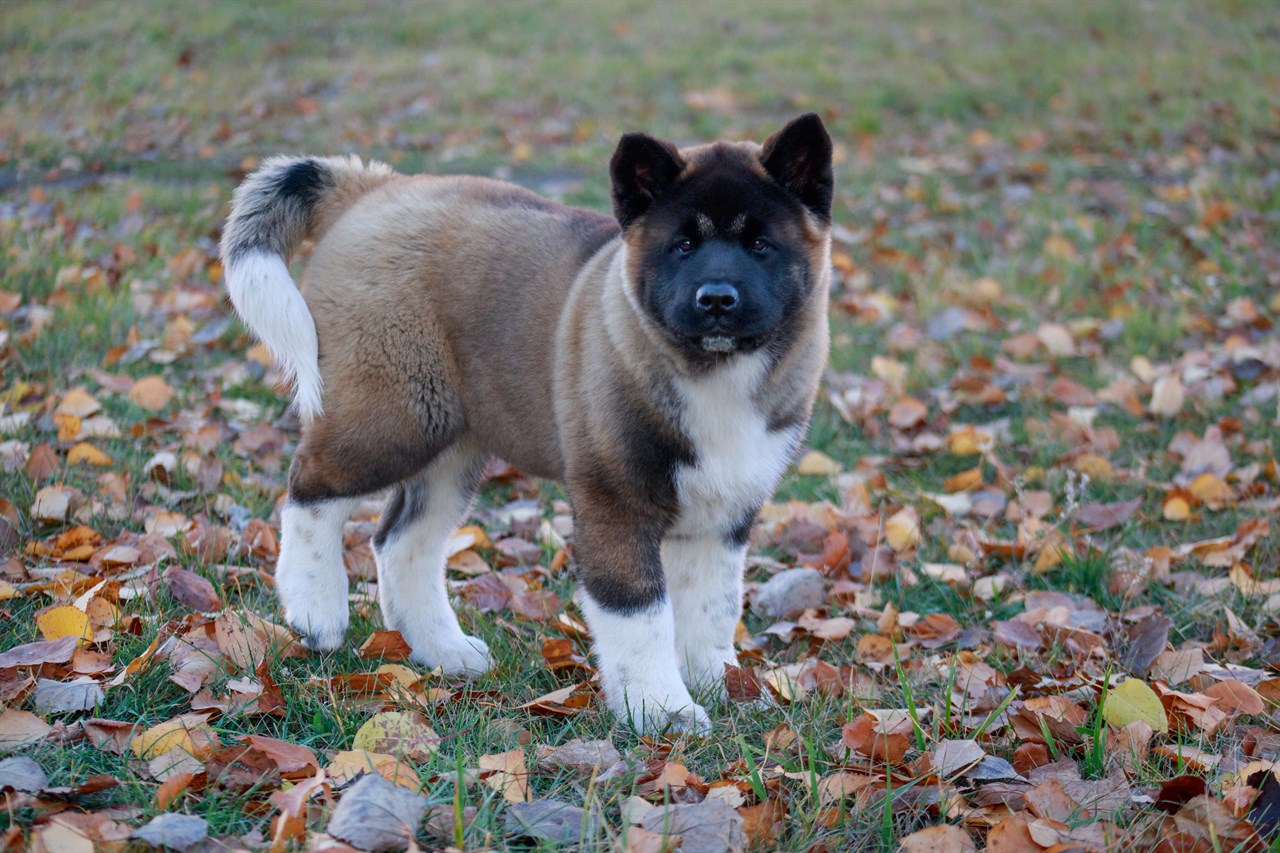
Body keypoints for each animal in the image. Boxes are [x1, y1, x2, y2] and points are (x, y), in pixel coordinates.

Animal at [220, 112, 834, 727]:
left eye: (760, 245)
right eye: (683, 246)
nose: (717, 299)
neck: (713, 373)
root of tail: (373, 188)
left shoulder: (724, 513)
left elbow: (711, 608)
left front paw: (721, 686)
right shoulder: (615, 503)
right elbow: (641, 614)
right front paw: (662, 711)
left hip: (453, 444)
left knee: (402, 541)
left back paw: (443, 650)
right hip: (392, 417)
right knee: (311, 488)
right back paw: (315, 608)